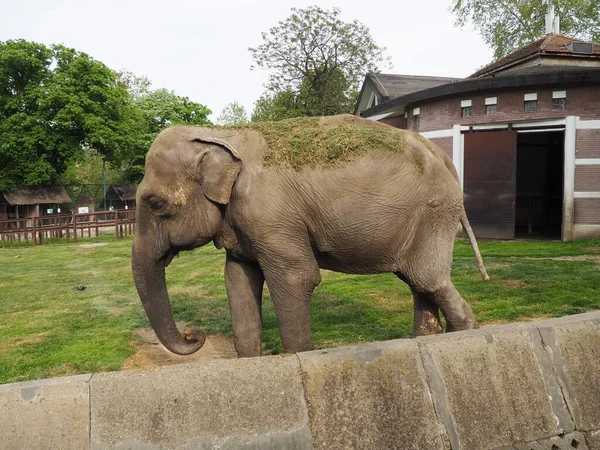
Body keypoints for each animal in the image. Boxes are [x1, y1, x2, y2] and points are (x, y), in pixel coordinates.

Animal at [131, 114, 488, 356]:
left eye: (155, 203)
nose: (194, 334)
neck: (219, 134)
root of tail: (445, 160)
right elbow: (237, 279)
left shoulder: (270, 214)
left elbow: (297, 277)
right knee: (418, 282)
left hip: (434, 215)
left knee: (430, 281)